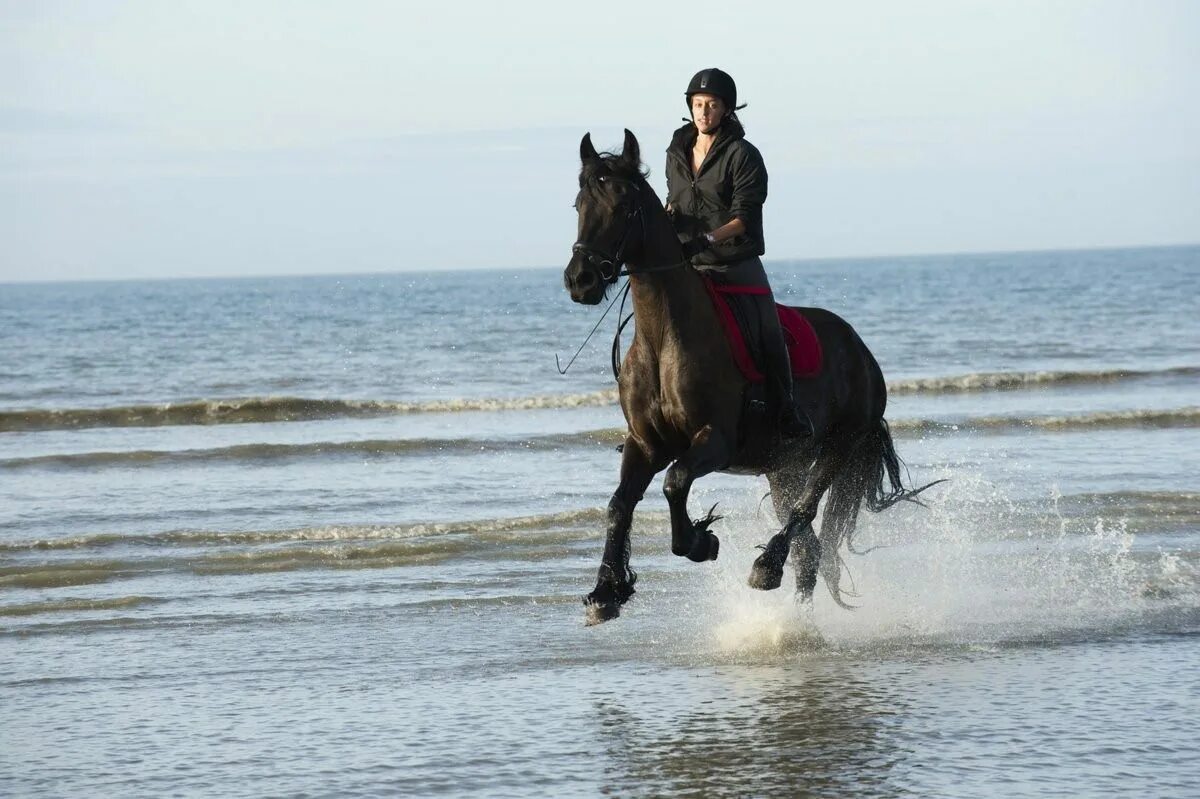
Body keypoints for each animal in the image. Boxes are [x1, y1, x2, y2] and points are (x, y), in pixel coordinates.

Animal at [561, 127, 936, 623]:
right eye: (580, 204)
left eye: (623, 205)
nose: (580, 280)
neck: (664, 336)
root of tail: (863, 353)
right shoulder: (645, 443)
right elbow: (618, 505)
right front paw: (606, 592)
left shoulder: (714, 441)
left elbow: (675, 482)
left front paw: (700, 542)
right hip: (783, 468)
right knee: (809, 549)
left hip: (839, 446)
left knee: (805, 512)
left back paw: (766, 568)